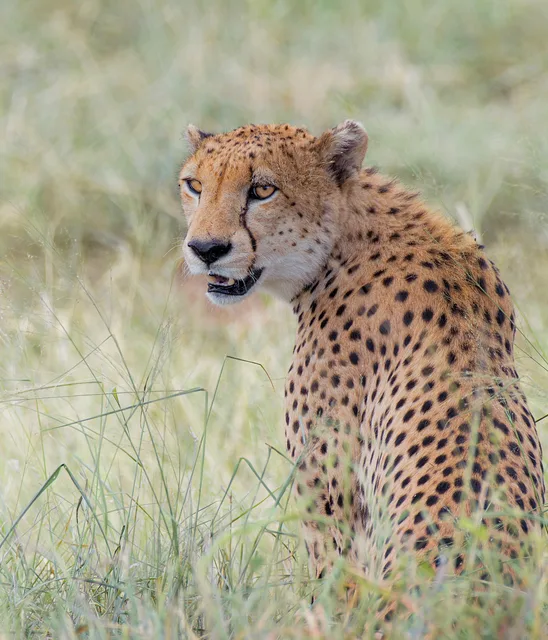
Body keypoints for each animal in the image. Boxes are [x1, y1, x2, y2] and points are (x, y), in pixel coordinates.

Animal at [179, 120, 545, 609]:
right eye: (194, 185)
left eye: (262, 190)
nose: (205, 249)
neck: (344, 242)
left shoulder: (330, 505)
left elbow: (332, 591)